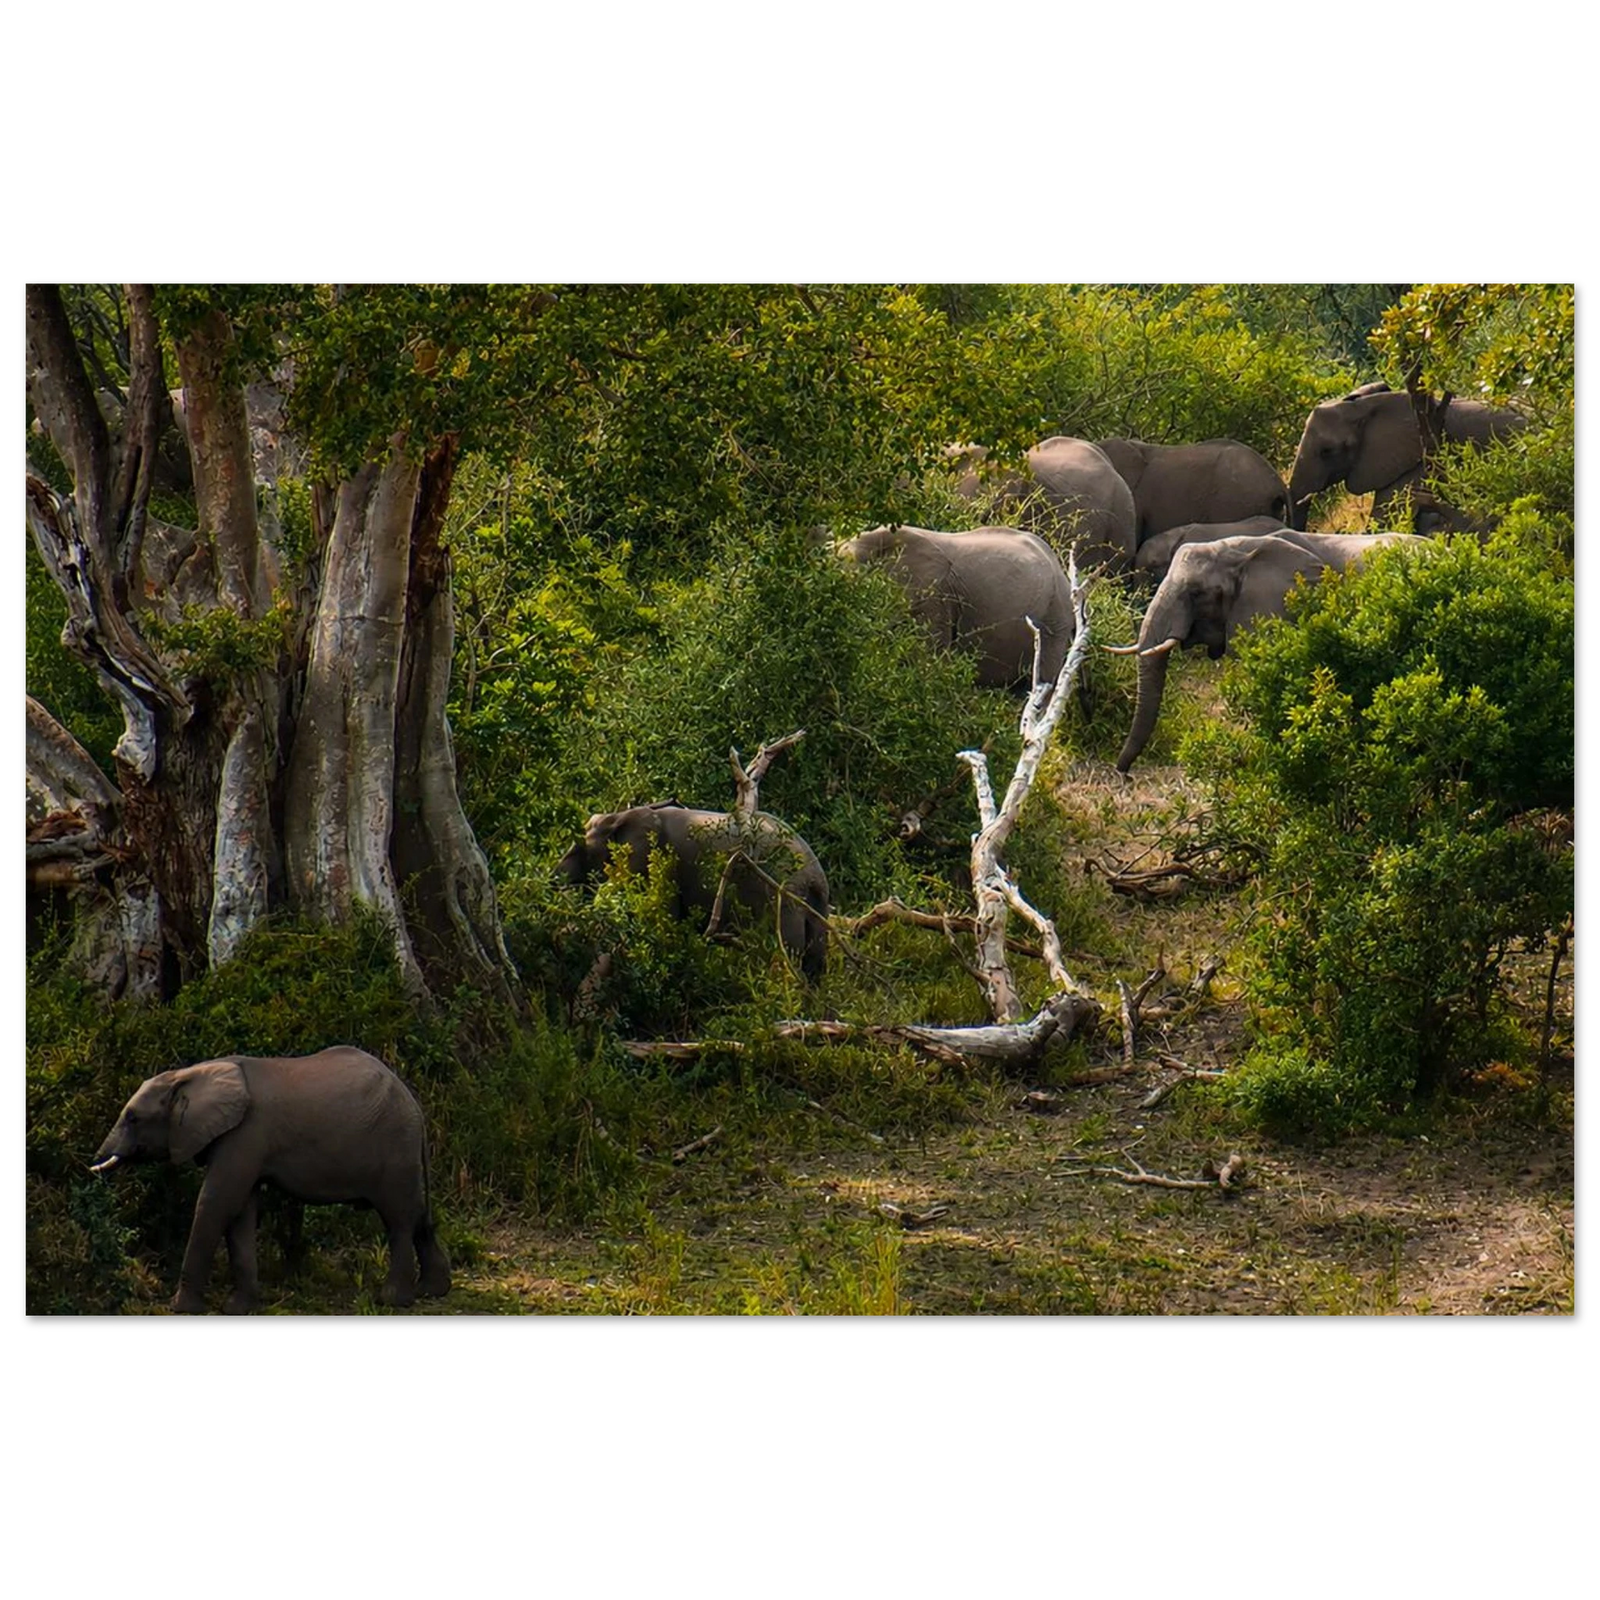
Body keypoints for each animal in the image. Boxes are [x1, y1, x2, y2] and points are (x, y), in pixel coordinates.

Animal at [90, 1046, 451, 1315]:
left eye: (132, 1118)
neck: (190, 1074)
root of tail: (414, 1103)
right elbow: (241, 1212)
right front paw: (239, 1309)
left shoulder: (246, 1133)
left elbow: (217, 1201)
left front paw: (181, 1309)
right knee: (419, 1217)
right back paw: (432, 1291)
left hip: (394, 1144)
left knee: (398, 1220)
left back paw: (392, 1300)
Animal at [556, 803, 831, 981]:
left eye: (581, 850)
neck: (621, 815)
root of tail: (815, 874)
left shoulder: (665, 863)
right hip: (815, 904)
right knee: (814, 960)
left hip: (783, 894)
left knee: (787, 955)